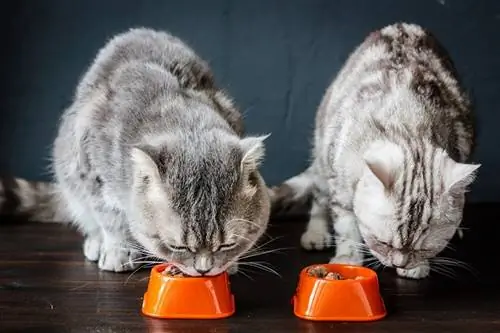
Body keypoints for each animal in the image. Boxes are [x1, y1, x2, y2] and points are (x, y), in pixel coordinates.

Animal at [0, 27, 272, 274]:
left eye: (228, 244)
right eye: (177, 246)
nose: (204, 270)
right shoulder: (92, 173)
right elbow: (111, 218)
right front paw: (120, 250)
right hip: (71, 181)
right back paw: (97, 243)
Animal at [274, 22, 480, 278]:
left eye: (424, 249)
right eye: (383, 243)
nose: (399, 263)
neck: (409, 122)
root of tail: (403, 23)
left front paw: (418, 266)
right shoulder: (340, 178)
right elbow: (345, 225)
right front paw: (348, 258)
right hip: (323, 150)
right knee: (319, 198)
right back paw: (316, 233)